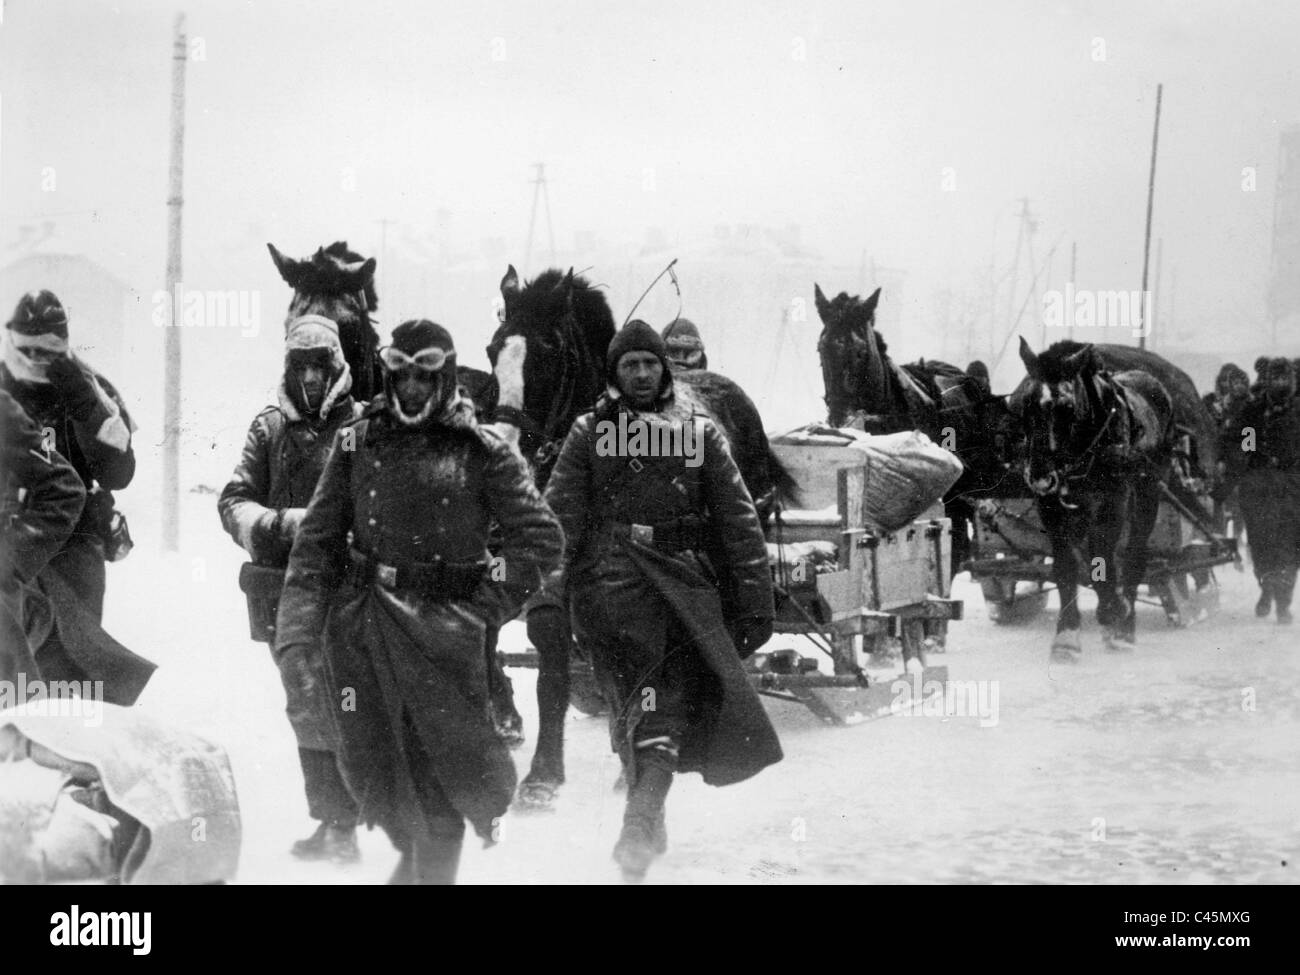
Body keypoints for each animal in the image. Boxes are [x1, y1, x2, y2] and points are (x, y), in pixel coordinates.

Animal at [1008, 338, 1185, 665]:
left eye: (1066, 407)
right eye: (1026, 403)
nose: (1040, 476)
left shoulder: (1112, 506)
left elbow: (1100, 562)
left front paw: (1114, 610)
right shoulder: (1052, 510)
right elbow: (1067, 568)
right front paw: (1066, 638)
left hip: (1148, 493)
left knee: (1134, 555)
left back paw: (1125, 628)